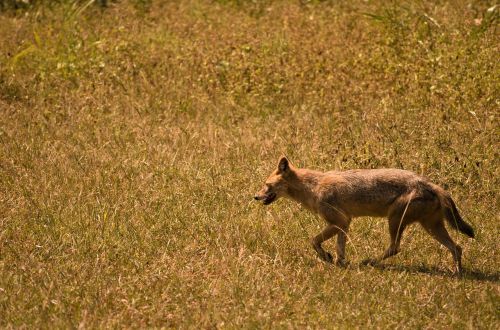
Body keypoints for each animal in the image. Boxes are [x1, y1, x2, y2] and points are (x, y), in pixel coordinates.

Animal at [256, 157, 474, 274]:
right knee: (457, 247)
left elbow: (314, 241)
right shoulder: (344, 224)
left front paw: (327, 257)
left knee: (395, 248)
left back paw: (370, 262)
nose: (255, 196)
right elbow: (339, 248)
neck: (313, 187)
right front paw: (339, 263)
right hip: (431, 227)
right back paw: (457, 273)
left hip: (395, 221)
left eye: (267, 185)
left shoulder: (339, 221)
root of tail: (431, 184)